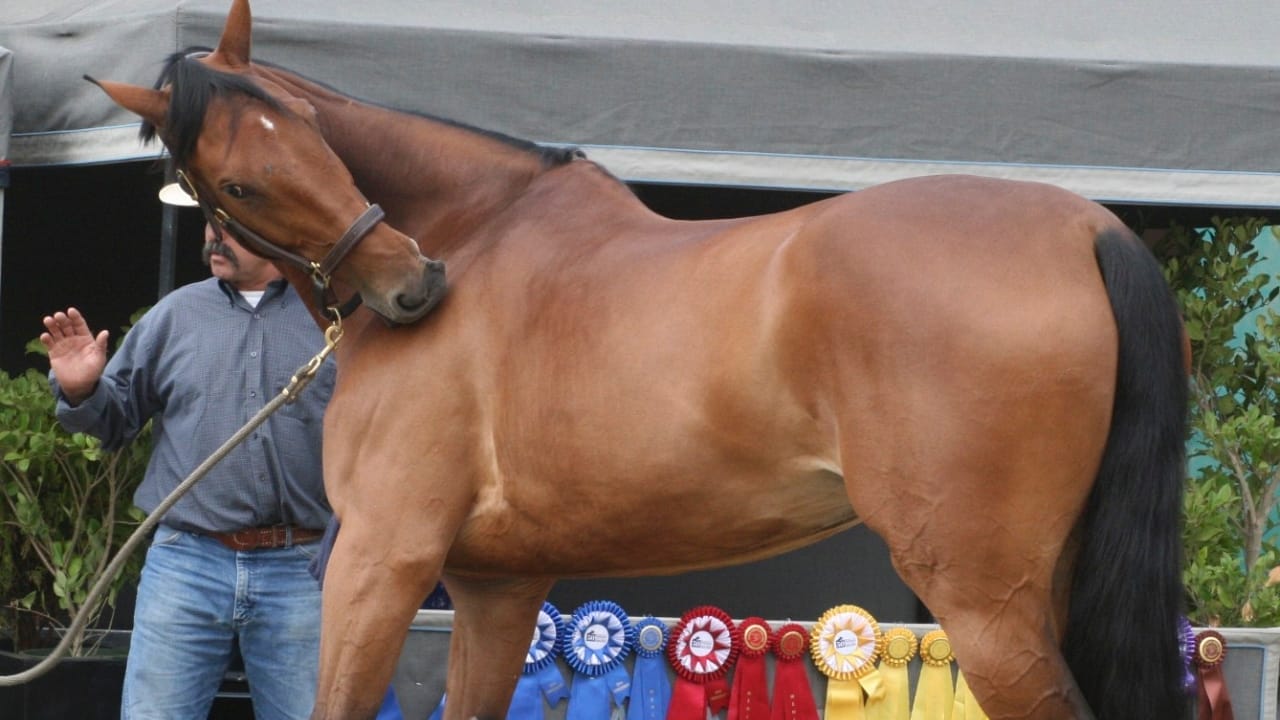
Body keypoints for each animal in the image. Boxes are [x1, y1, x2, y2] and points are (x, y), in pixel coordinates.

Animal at [92, 1, 1189, 717]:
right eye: (241, 178)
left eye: (313, 136)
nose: (413, 284)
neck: (479, 231)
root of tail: (1088, 227)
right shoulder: (495, 589)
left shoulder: (379, 560)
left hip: (985, 606)